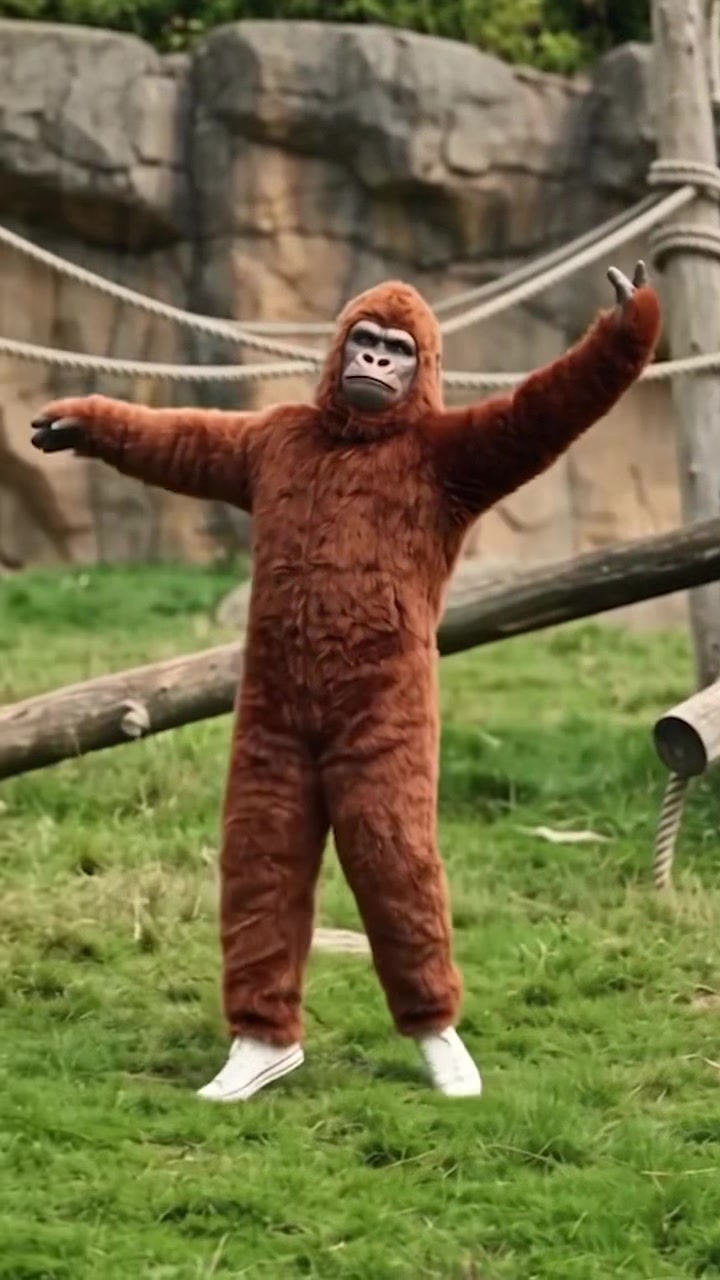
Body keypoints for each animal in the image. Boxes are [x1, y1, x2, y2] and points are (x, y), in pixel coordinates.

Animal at [31, 261, 660, 1102]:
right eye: (366, 339)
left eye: (398, 349)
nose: (372, 362)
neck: (357, 435)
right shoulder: (267, 441)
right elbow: (191, 446)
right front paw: (82, 423)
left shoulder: (457, 456)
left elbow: (537, 414)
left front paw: (628, 320)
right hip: (269, 723)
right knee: (262, 844)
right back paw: (261, 1047)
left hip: (388, 709)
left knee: (390, 848)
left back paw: (437, 1042)